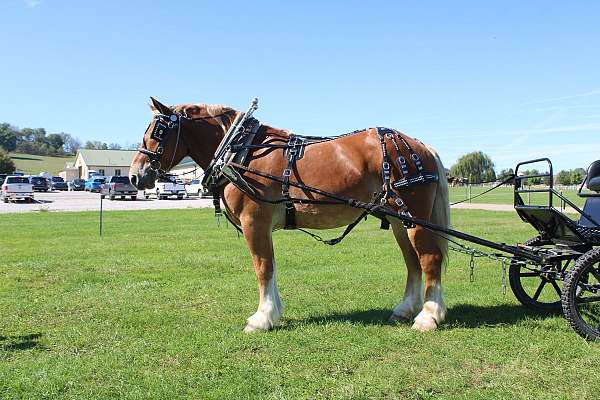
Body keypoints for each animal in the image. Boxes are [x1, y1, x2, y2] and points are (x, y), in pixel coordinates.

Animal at [131, 98, 450, 332]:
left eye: (157, 132)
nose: (136, 175)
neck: (241, 151)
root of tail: (420, 146)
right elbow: (269, 267)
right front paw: (271, 312)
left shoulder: (254, 223)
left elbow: (263, 268)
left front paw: (262, 318)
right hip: (399, 220)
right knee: (412, 262)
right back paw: (405, 309)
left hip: (413, 218)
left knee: (429, 259)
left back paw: (428, 316)